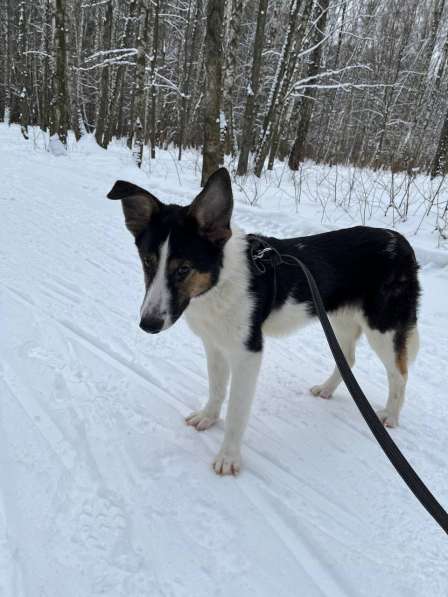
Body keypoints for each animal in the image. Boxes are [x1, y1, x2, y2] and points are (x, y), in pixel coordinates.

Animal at [107, 165, 420, 472]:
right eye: (147, 262)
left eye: (183, 269)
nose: (148, 325)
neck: (219, 283)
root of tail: (402, 243)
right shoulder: (215, 346)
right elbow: (216, 389)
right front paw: (209, 416)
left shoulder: (247, 354)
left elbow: (236, 412)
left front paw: (229, 457)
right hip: (339, 320)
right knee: (349, 360)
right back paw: (327, 389)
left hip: (383, 329)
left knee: (399, 374)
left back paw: (390, 415)